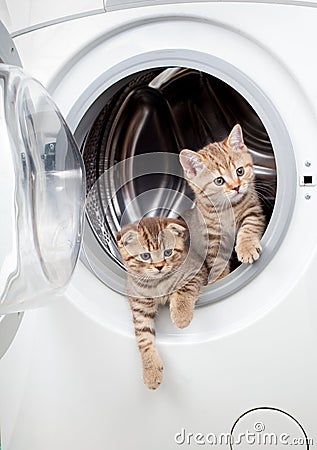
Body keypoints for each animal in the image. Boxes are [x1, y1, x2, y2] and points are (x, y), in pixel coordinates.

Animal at [116, 216, 207, 388]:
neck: (156, 283)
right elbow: (144, 338)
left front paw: (181, 315)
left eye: (168, 252)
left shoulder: (196, 271)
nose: (159, 266)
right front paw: (151, 370)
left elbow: (184, 290)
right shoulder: (140, 305)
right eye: (145, 256)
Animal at [180, 121, 264, 280]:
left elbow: (249, 227)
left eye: (240, 171)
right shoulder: (212, 238)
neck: (227, 208)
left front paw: (247, 247)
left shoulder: (254, 210)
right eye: (219, 181)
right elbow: (217, 263)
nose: (236, 187)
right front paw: (218, 278)